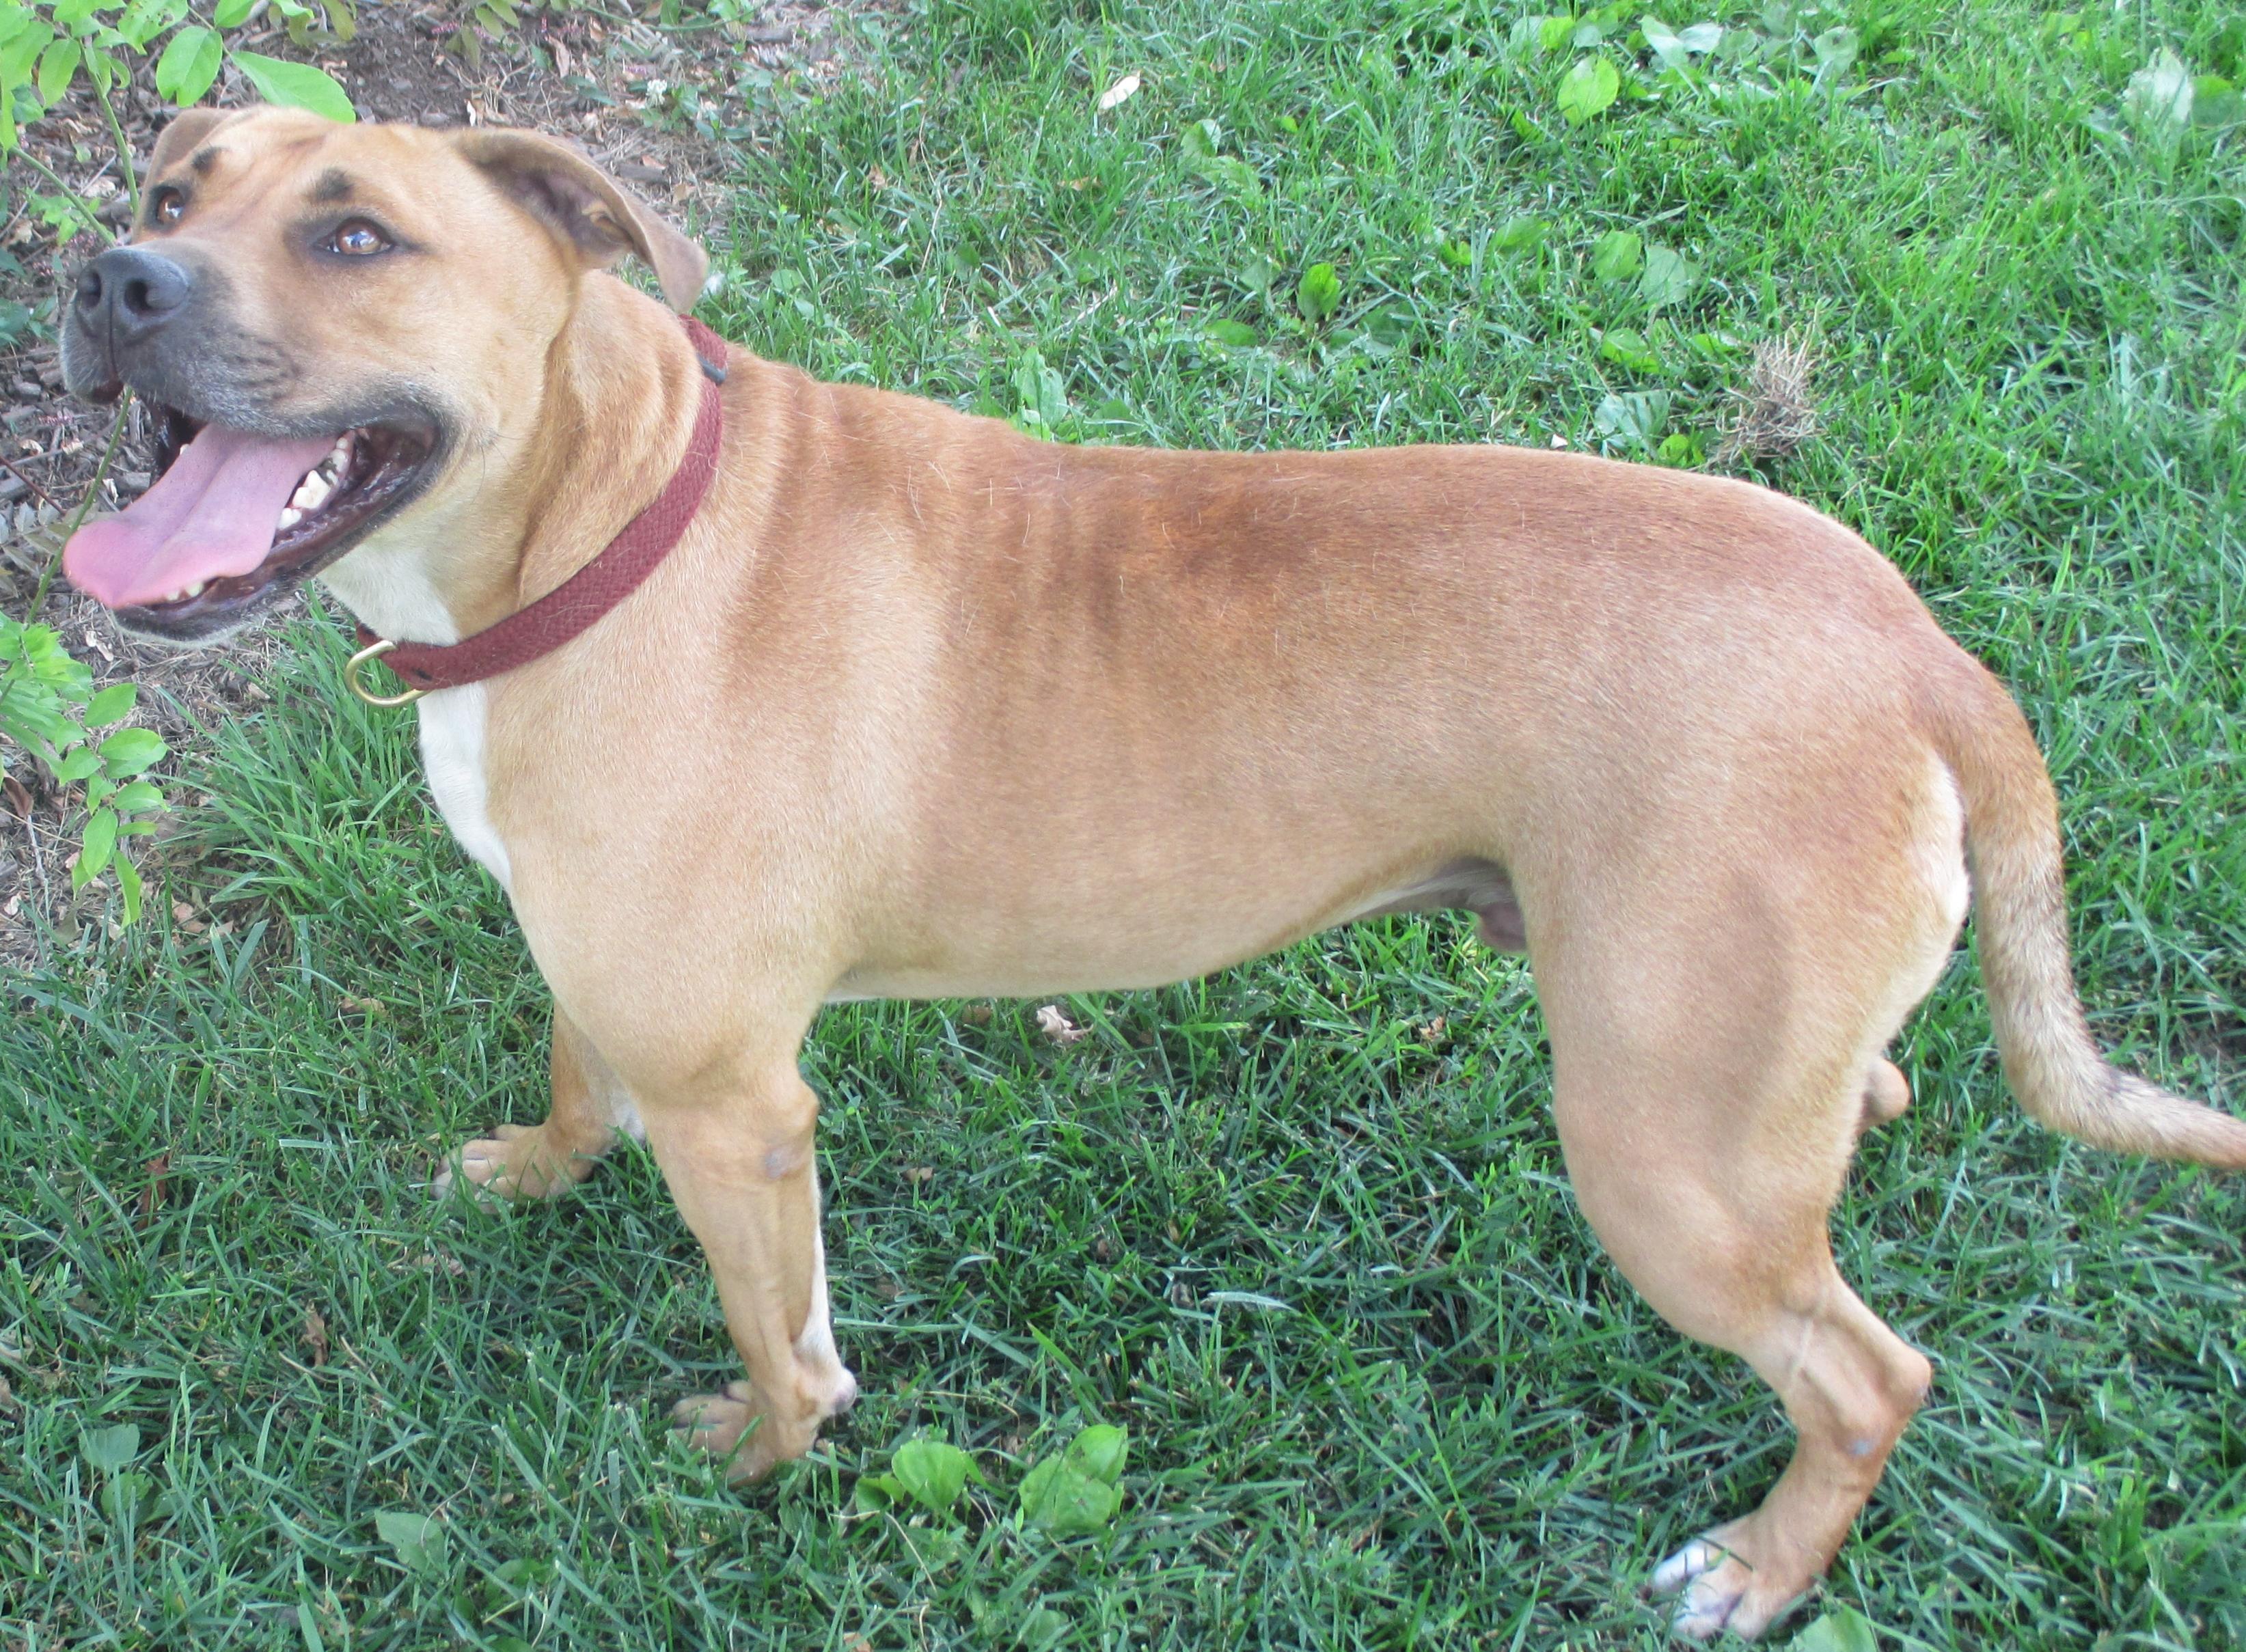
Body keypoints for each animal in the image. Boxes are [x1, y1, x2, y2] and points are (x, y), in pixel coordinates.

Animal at [57, 107, 2246, 1642]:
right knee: (1859, 1104)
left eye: (354, 233)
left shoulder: (741, 1111)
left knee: (1866, 1372)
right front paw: (533, 1165)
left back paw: (1760, 1567)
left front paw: (756, 1462)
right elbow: (573, 1070)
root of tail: (1920, 648)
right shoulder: (615, 994)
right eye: (174, 178)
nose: (110, 274)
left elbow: (785, 1343)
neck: (600, 529)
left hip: (1657, 1168)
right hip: (1711, 1081)